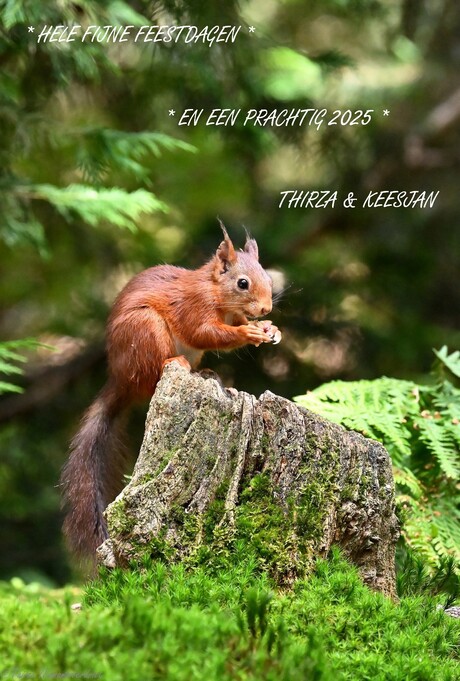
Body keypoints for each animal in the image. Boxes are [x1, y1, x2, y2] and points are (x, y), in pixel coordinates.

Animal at [61, 226, 280, 560]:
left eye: (268, 278)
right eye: (242, 283)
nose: (267, 308)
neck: (216, 293)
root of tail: (121, 380)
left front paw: (269, 328)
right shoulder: (194, 307)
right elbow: (204, 332)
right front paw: (248, 332)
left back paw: (205, 373)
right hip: (145, 330)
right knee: (155, 372)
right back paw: (175, 363)